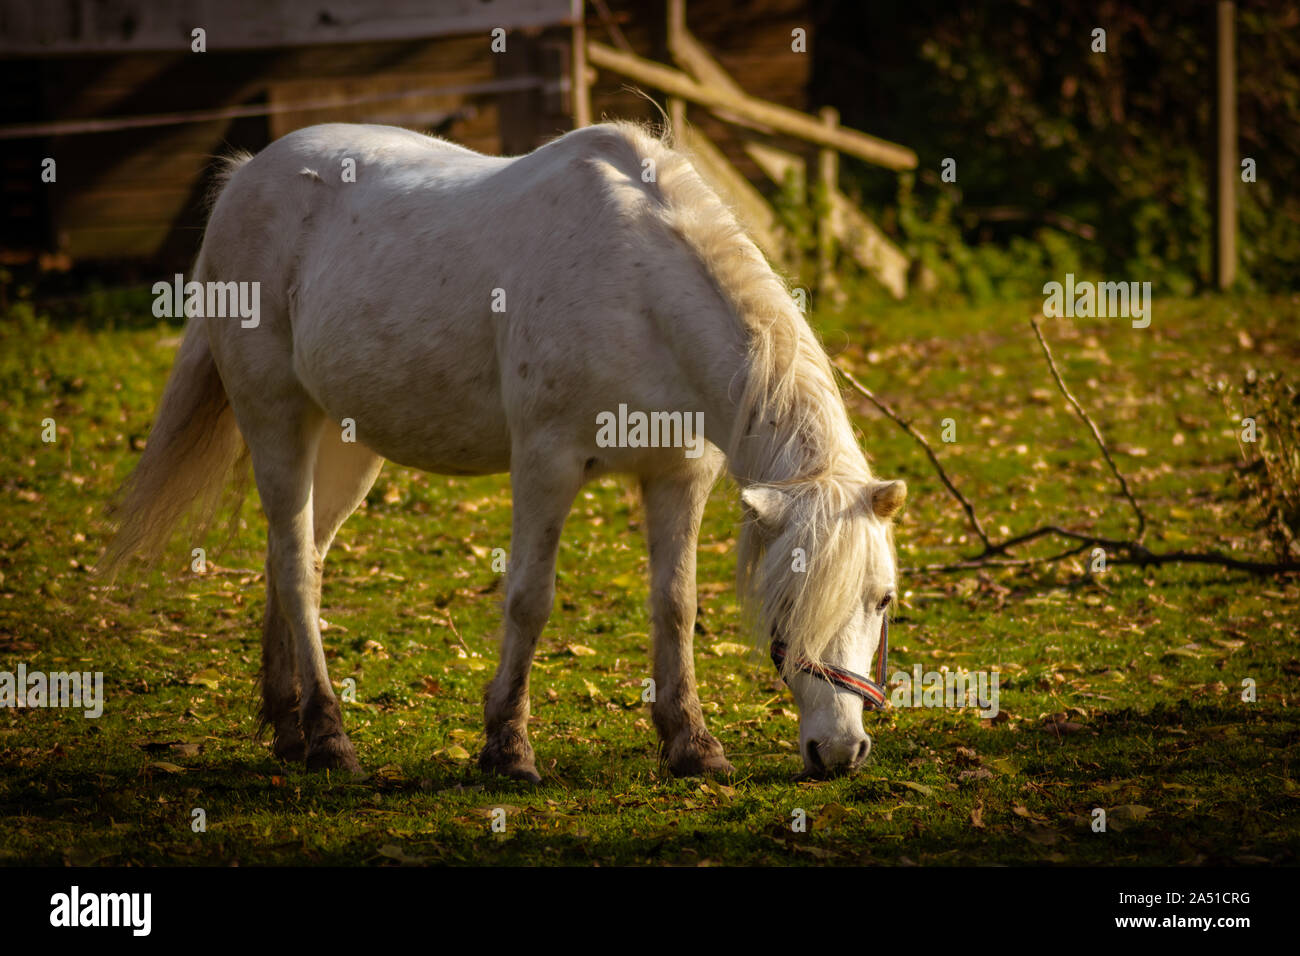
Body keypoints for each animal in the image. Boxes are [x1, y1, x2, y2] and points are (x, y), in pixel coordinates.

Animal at [104, 121, 906, 780]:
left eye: (883, 598)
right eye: (788, 599)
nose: (840, 751)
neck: (638, 287)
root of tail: (247, 176)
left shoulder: (679, 477)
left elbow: (675, 606)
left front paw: (692, 746)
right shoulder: (546, 465)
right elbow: (529, 600)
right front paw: (508, 749)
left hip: (343, 445)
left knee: (292, 555)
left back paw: (289, 730)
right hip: (276, 420)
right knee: (299, 570)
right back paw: (330, 739)